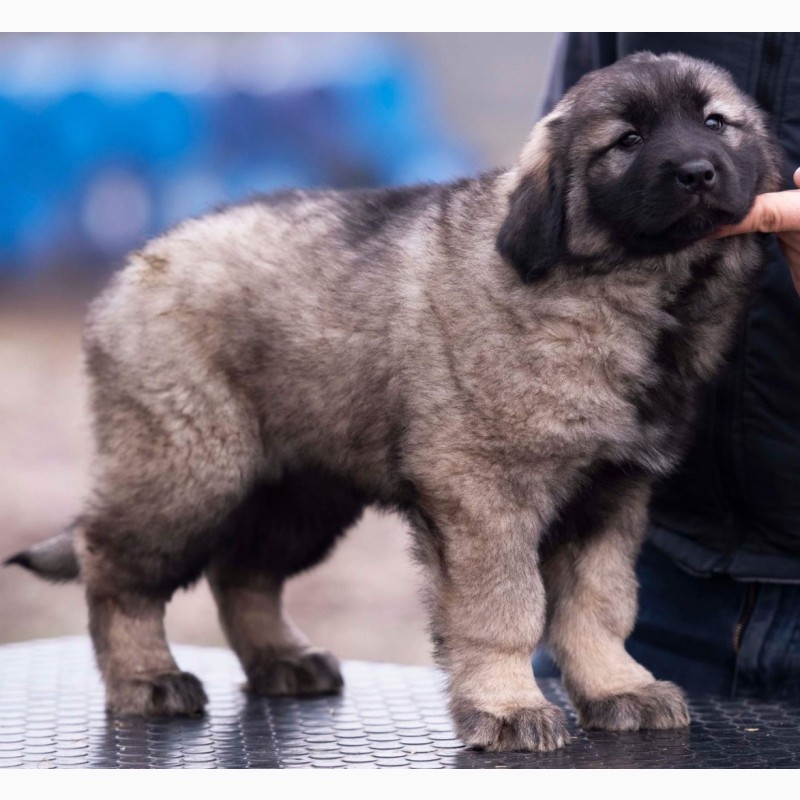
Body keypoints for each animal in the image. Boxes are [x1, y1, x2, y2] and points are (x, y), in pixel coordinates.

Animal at [6, 53, 780, 752]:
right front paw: (507, 706)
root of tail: (135, 265)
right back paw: (145, 677)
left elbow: (598, 604)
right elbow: (505, 608)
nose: (697, 172)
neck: (634, 290)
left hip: (302, 491)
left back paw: (281, 658)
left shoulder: (611, 495)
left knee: (243, 571)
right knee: (115, 565)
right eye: (627, 140)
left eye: (716, 123)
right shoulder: (484, 494)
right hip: (189, 467)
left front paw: (618, 687)